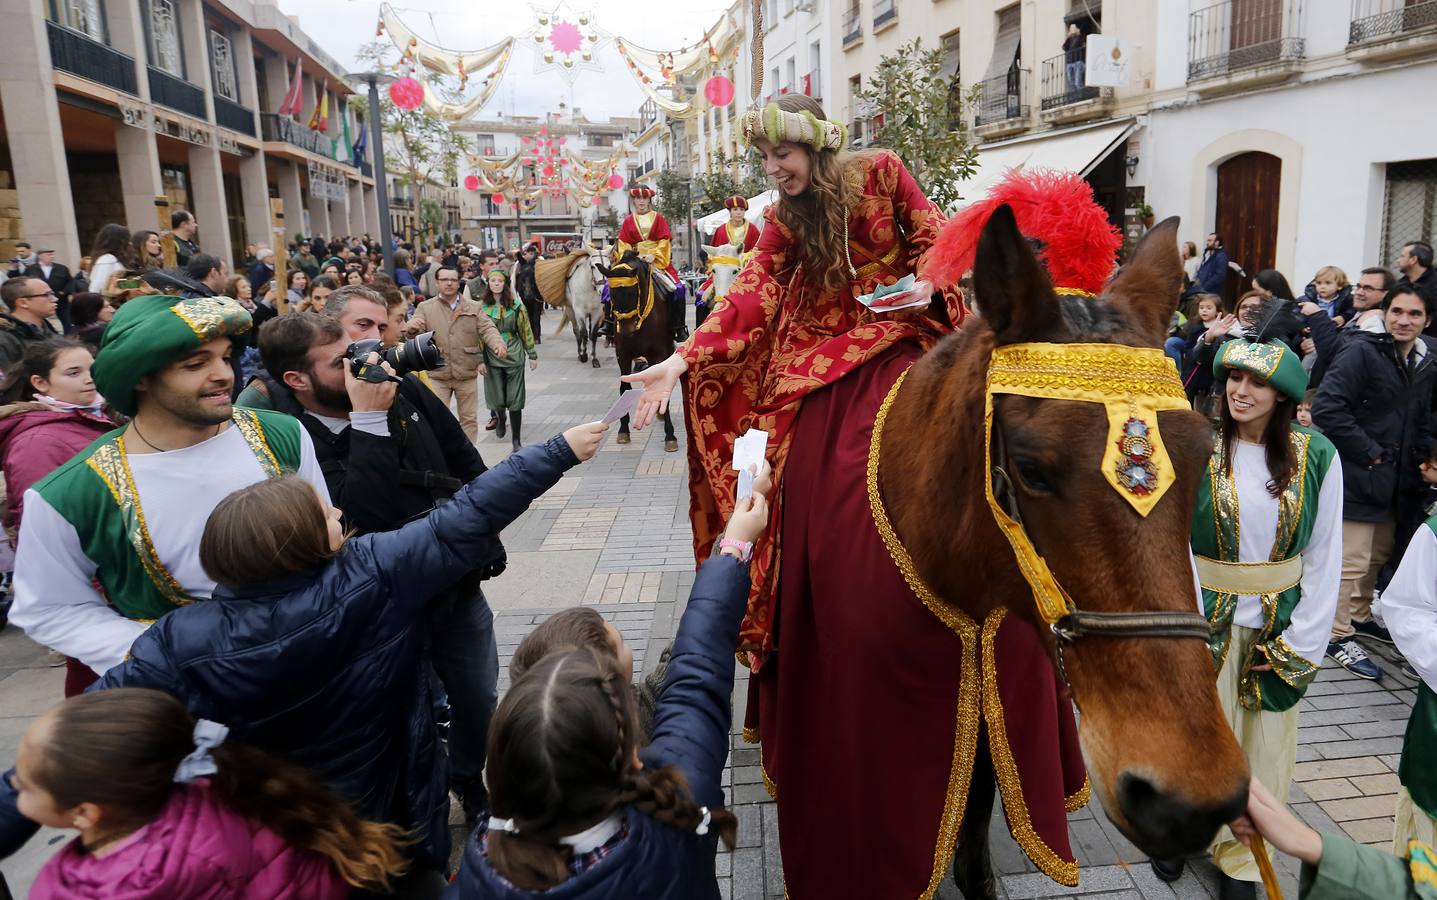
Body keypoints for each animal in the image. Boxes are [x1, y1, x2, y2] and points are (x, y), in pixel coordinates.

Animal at [600, 250, 678, 448]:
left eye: (632, 293)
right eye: (612, 294)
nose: (627, 330)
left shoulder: (658, 353)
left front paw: (670, 435)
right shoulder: (623, 355)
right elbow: (624, 388)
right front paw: (623, 430)